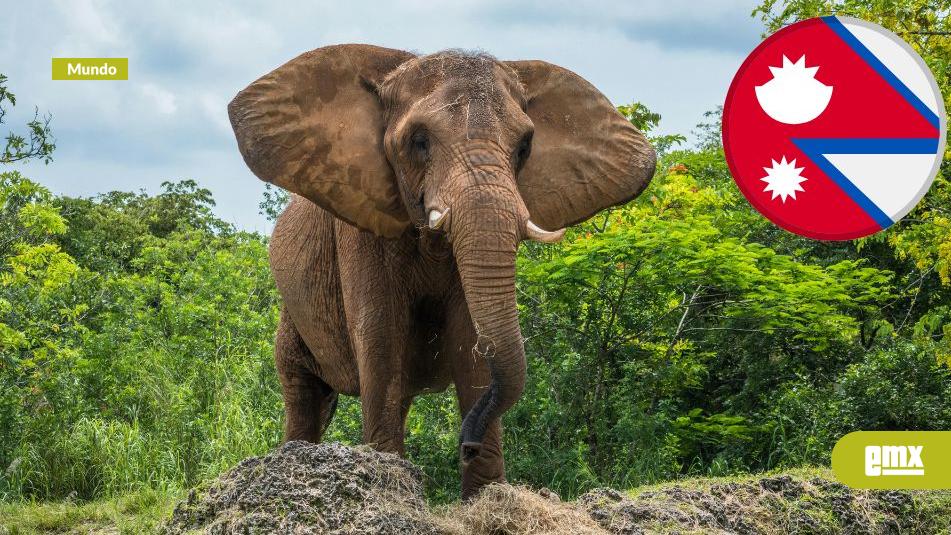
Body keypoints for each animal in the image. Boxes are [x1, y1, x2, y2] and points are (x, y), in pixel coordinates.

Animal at [228, 44, 656, 499]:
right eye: (419, 142)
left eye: (525, 147)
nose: (467, 444)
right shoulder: (362, 229)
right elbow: (380, 337)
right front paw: (390, 488)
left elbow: (473, 342)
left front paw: (484, 497)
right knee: (304, 393)